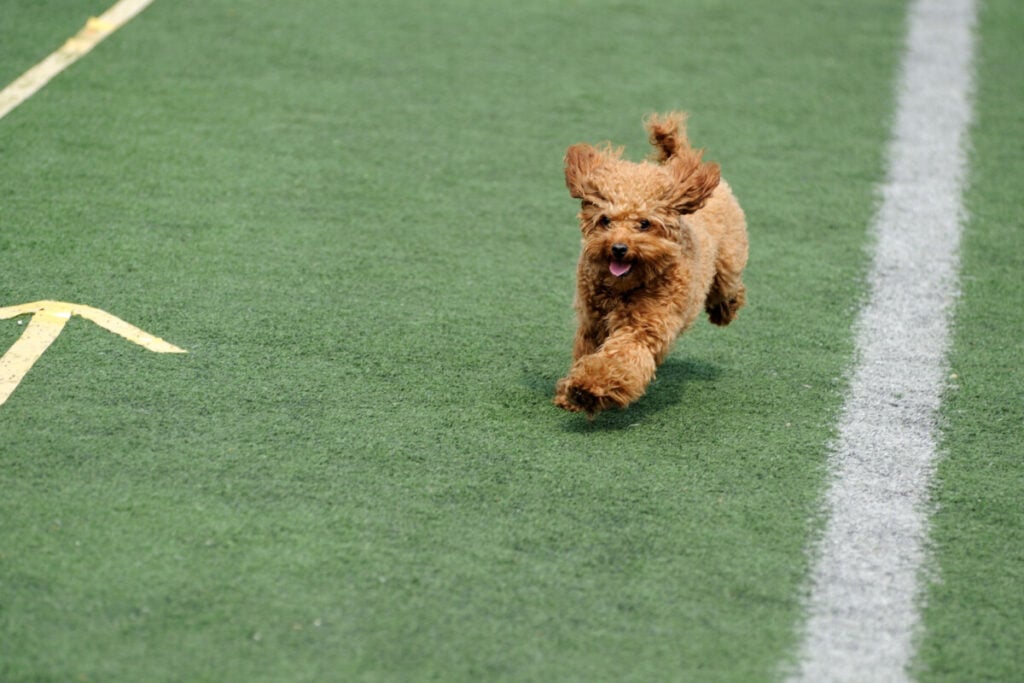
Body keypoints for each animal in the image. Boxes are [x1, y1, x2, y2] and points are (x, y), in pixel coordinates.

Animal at [557, 111, 749, 417]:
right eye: (605, 220)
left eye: (644, 224)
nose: (618, 248)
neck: (623, 288)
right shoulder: (593, 322)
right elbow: (586, 350)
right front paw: (569, 392)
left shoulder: (644, 328)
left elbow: (620, 358)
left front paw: (589, 389)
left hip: (730, 259)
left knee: (728, 288)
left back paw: (724, 310)